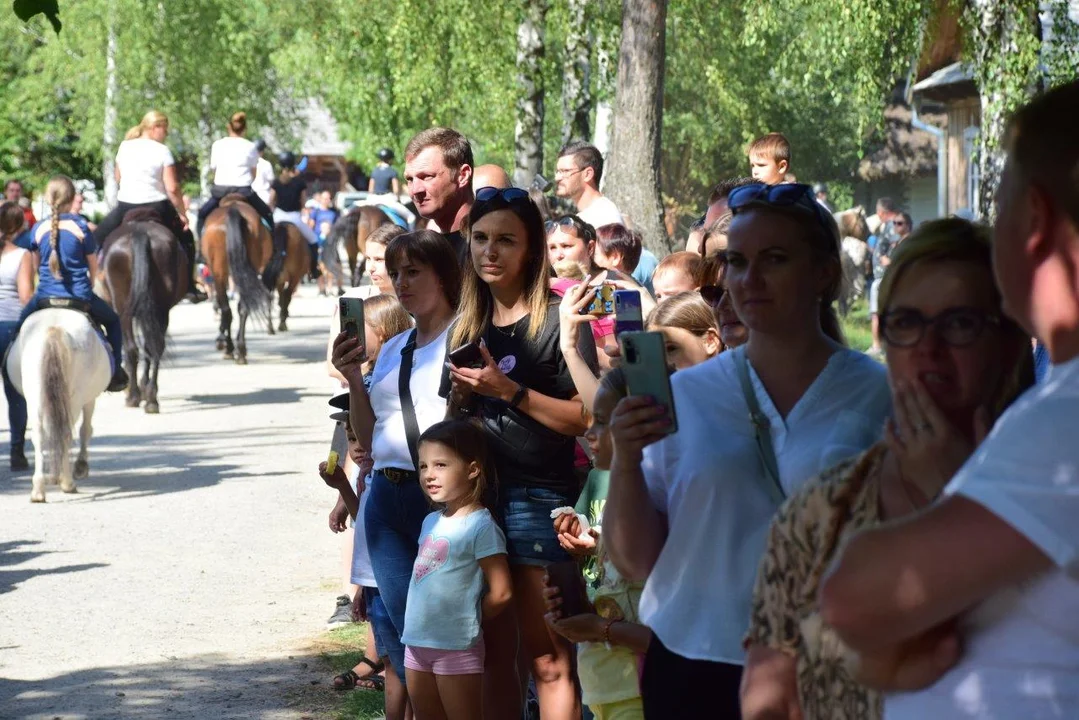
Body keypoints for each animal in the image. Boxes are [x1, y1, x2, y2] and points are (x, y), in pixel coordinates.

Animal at [5, 308, 111, 500]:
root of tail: (54, 328)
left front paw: (53, 475)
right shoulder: (89, 399)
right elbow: (86, 429)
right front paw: (80, 466)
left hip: (34, 397)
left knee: (40, 436)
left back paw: (39, 489)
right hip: (73, 399)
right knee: (66, 434)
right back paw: (67, 482)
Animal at [100, 208, 188, 414]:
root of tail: (140, 234)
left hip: (124, 309)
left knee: (133, 348)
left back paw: (134, 395)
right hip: (159, 308)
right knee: (154, 345)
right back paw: (150, 399)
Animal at [200, 195, 271, 362]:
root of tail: (233, 209)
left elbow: (221, 305)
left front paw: (225, 343)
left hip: (219, 271)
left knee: (226, 309)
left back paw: (228, 346)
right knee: (243, 308)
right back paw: (241, 350)